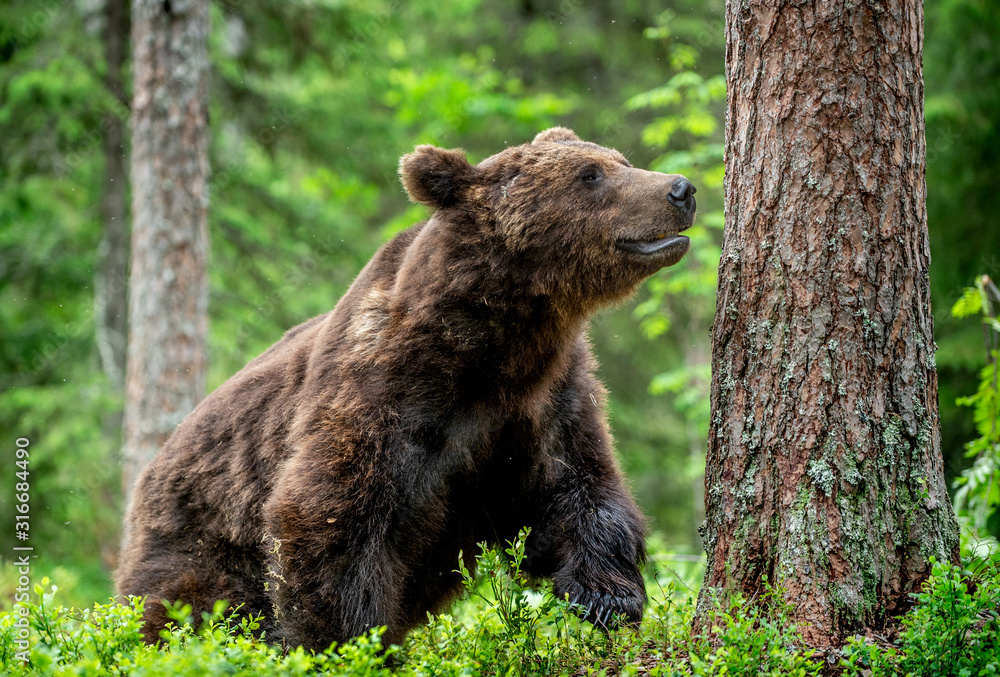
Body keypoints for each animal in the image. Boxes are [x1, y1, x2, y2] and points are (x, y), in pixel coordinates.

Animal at [115, 127, 697, 651]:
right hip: (198, 539)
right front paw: (348, 643)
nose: (681, 189)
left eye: (619, 160)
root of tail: (146, 478)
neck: (495, 345)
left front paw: (610, 598)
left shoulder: (548, 399)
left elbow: (581, 484)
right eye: (590, 175)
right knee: (194, 606)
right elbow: (332, 519)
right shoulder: (384, 393)